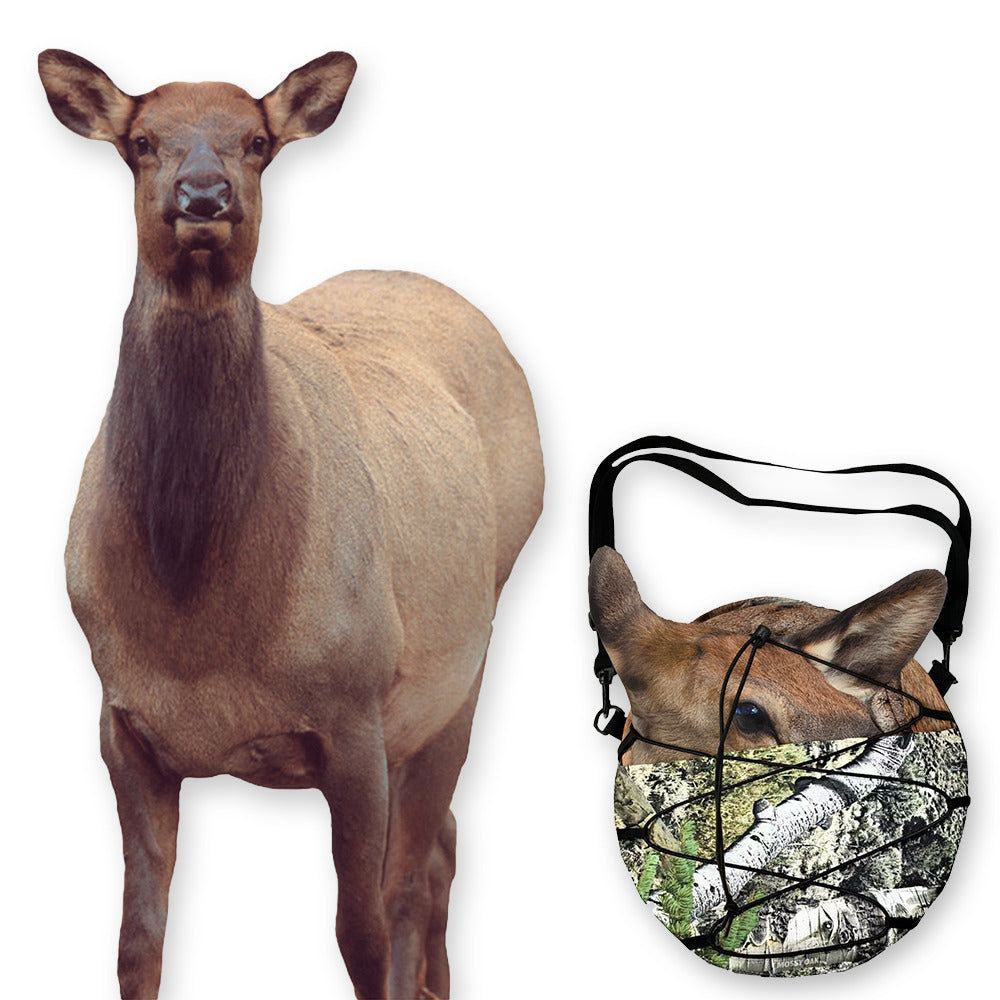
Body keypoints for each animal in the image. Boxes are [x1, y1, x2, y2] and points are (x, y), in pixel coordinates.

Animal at [38, 49, 543, 1000]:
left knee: (417, 874)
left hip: (459, 668)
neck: (199, 624)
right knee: (446, 846)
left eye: (258, 142)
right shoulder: (120, 722)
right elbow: (135, 943)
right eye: (141, 141)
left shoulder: (354, 713)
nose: (204, 196)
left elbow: (362, 934)